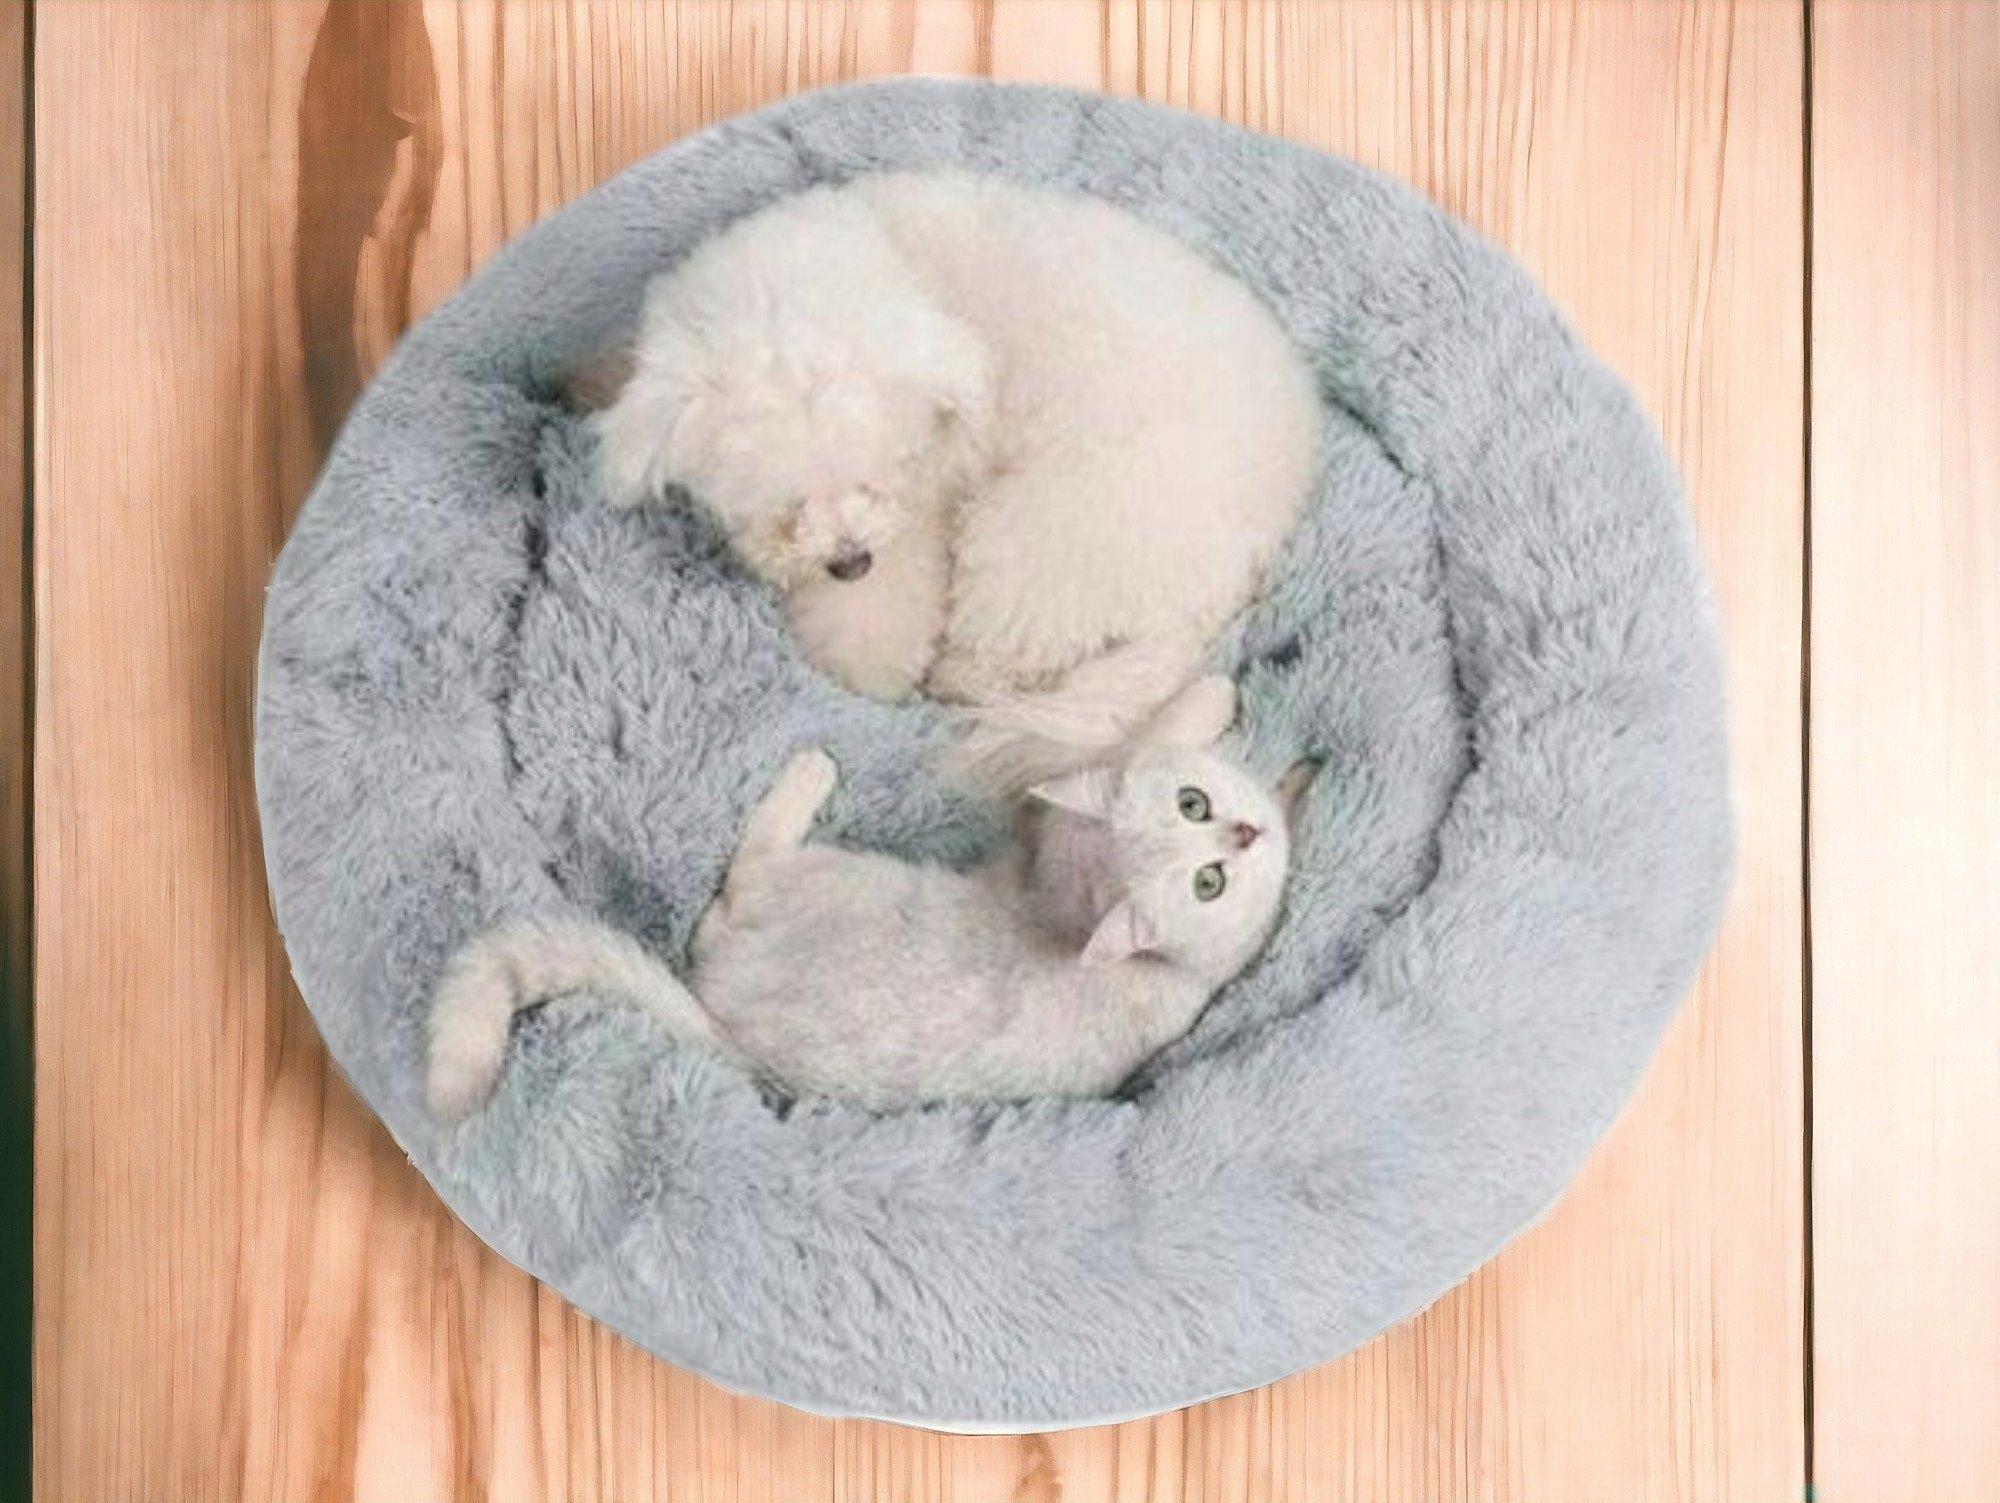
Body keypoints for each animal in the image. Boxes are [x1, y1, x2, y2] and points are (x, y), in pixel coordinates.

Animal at [427, 678, 1314, 1115]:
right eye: (1194, 812)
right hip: (818, 871)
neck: (1080, 883)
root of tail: (727, 1035)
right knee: (737, 881)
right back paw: (809, 769)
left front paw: (1289, 786)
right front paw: (1228, 701)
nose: (1244, 835)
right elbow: (1168, 723)